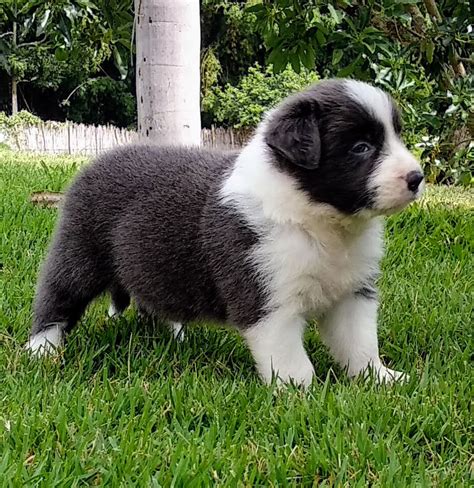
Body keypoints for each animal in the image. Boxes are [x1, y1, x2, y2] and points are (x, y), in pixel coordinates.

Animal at [27, 79, 424, 386]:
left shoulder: (353, 293)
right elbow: (290, 357)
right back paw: (41, 349)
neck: (322, 223)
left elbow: (360, 342)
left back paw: (172, 335)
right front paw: (301, 394)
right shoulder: (266, 297)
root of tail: (97, 160)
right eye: (361, 147)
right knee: (57, 296)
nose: (418, 177)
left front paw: (381, 379)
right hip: (81, 250)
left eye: (397, 136)